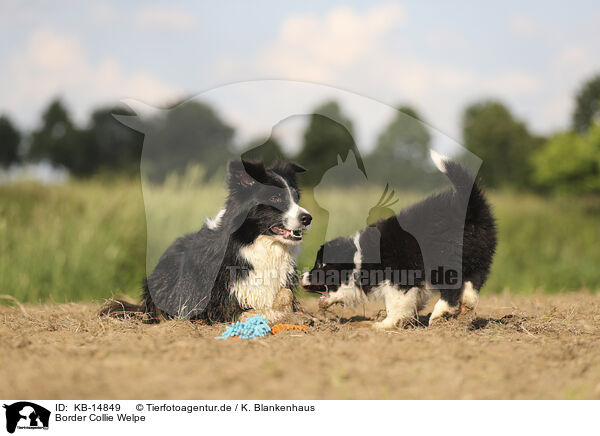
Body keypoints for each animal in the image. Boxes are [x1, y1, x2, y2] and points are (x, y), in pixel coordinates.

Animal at [101, 160, 312, 324]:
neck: (255, 244)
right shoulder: (219, 305)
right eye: (275, 197)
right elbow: (254, 312)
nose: (308, 218)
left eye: (296, 198)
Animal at [300, 152, 496, 328]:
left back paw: (439, 314)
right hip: (479, 259)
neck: (359, 259)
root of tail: (470, 208)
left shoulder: (399, 275)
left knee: (451, 289)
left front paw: (385, 324)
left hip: (444, 258)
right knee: (472, 286)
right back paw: (464, 311)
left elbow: (396, 303)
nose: (301, 277)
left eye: (321, 265)